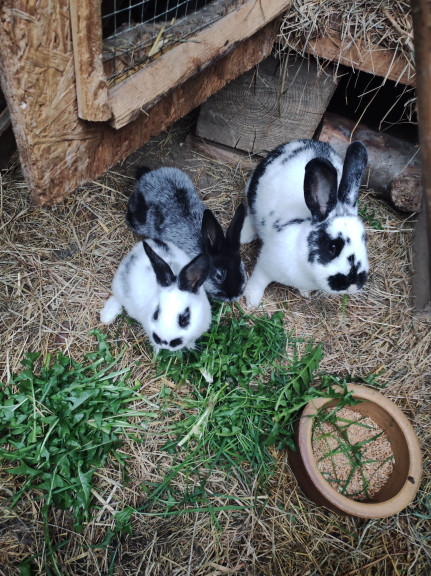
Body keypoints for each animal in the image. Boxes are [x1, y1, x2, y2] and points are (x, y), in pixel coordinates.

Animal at [240, 139, 369, 307]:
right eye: (332, 247)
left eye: (365, 240)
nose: (352, 285)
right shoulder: (265, 265)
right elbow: (258, 282)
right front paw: (251, 302)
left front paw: (305, 293)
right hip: (252, 191)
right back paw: (245, 235)